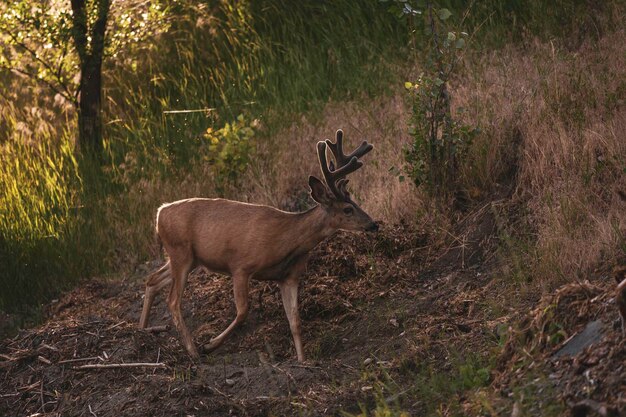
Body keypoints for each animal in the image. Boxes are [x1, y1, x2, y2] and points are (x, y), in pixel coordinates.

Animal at [136, 128, 376, 360]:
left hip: (189, 258)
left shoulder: (289, 277)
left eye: (355, 203)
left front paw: (302, 361)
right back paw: (193, 351)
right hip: (181, 252)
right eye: (347, 209)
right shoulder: (241, 265)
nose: (373, 224)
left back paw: (142, 331)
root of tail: (159, 213)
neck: (287, 241)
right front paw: (210, 344)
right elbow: (243, 311)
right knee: (173, 300)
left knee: (152, 280)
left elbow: (295, 322)